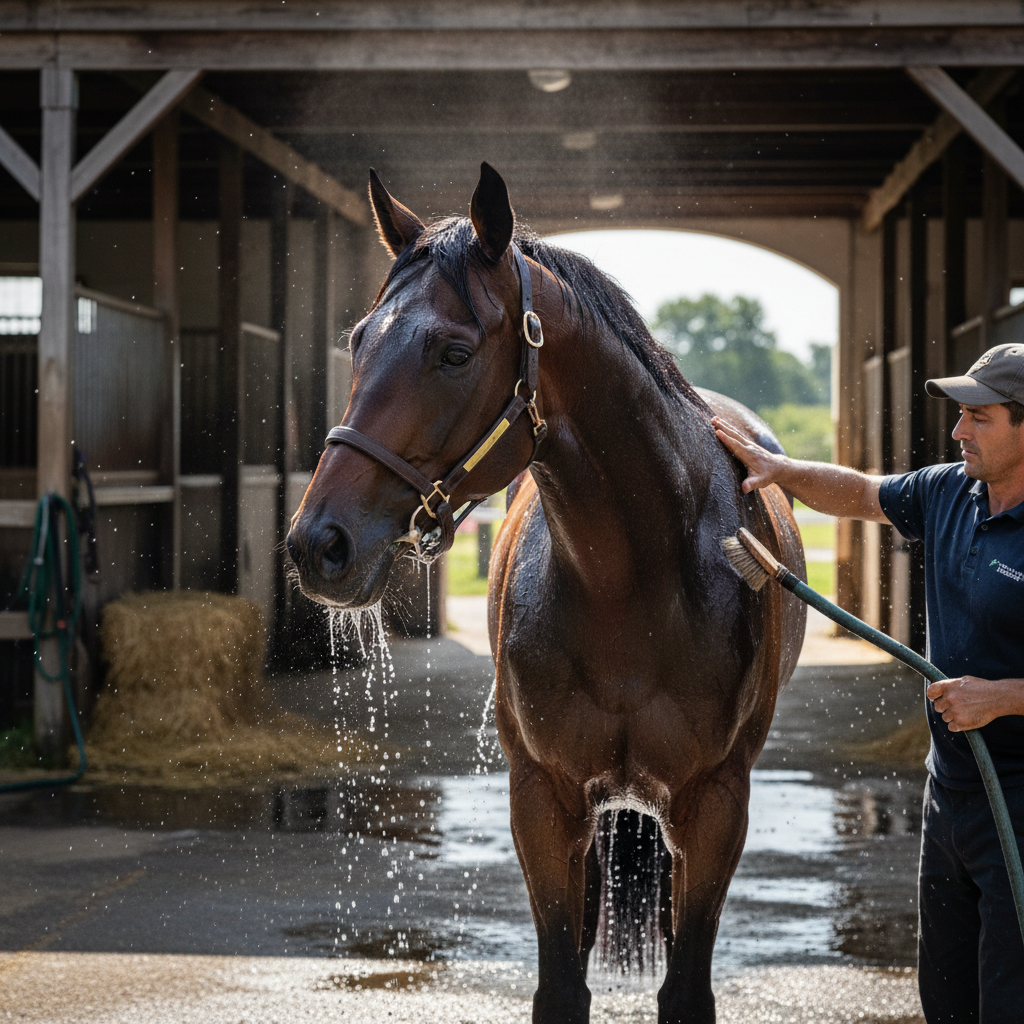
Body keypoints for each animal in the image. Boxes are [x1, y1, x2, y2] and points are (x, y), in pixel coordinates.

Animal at [286, 163, 806, 1024]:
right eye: (359, 341)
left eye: (454, 351)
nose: (318, 545)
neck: (630, 589)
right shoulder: (542, 798)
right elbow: (562, 984)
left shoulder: (715, 803)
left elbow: (684, 988)